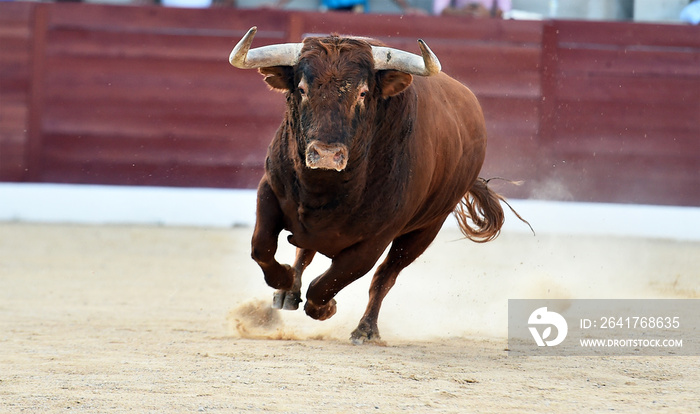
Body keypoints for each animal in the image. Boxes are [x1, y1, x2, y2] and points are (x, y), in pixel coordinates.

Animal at [230, 25, 520, 342]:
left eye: (363, 93)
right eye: (302, 89)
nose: (327, 155)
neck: (323, 188)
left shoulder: (377, 238)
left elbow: (334, 280)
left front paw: (325, 308)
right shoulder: (269, 191)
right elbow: (262, 247)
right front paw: (284, 283)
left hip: (425, 229)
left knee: (384, 276)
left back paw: (366, 329)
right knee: (304, 252)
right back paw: (288, 294)